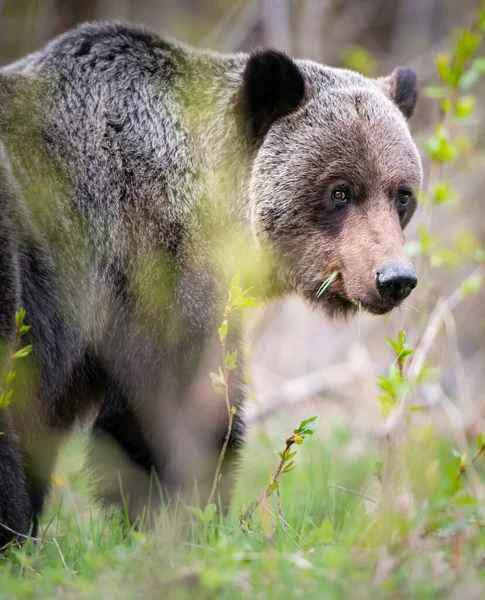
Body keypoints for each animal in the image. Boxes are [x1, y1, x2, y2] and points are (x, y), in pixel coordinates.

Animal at [0, 21, 420, 544]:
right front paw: (184, 521)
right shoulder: (148, 267)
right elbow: (171, 408)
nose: (394, 278)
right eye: (340, 191)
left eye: (402, 194)